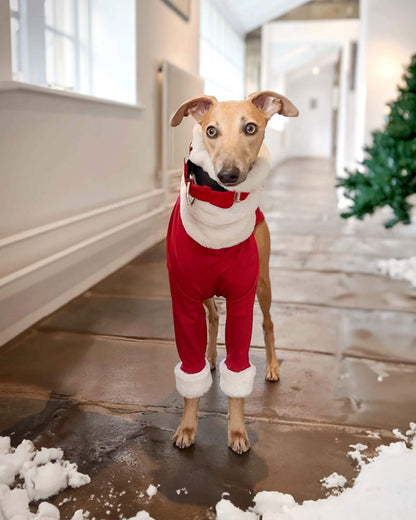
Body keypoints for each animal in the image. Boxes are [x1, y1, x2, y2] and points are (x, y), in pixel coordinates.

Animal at [169, 91, 300, 452]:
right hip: (205, 294)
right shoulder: (183, 299)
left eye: (250, 128)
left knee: (268, 324)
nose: (228, 174)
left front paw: (238, 431)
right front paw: (187, 427)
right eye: (210, 130)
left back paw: (271, 366)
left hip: (263, 285)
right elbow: (190, 374)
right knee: (213, 317)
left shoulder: (242, 299)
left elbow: (238, 376)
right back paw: (211, 356)